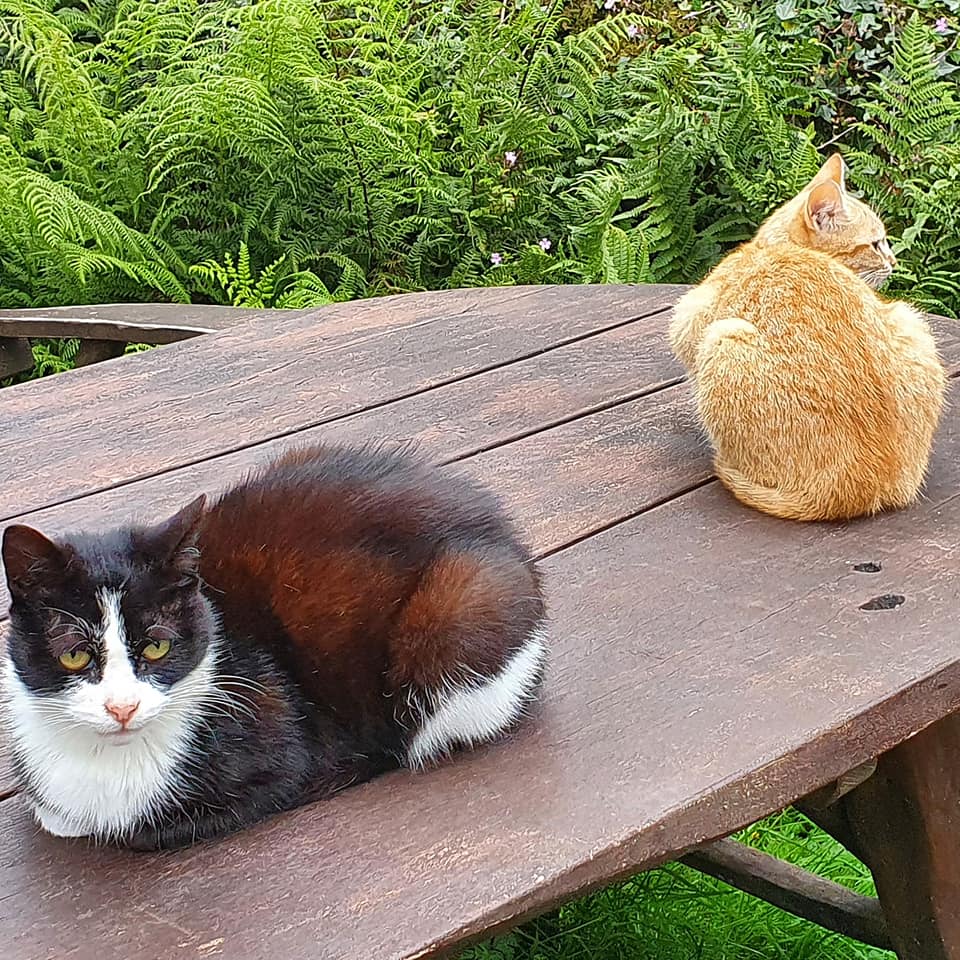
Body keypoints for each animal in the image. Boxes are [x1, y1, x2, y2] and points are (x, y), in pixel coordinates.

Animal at [1, 442, 547, 850]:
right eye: (74, 654)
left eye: (157, 647)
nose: (122, 707)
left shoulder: (280, 750)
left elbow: (141, 832)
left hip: (457, 615)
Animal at [668, 153, 946, 521]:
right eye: (876, 244)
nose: (894, 260)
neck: (772, 247)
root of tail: (869, 480)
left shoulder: (690, 318)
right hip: (909, 319)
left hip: (721, 340)